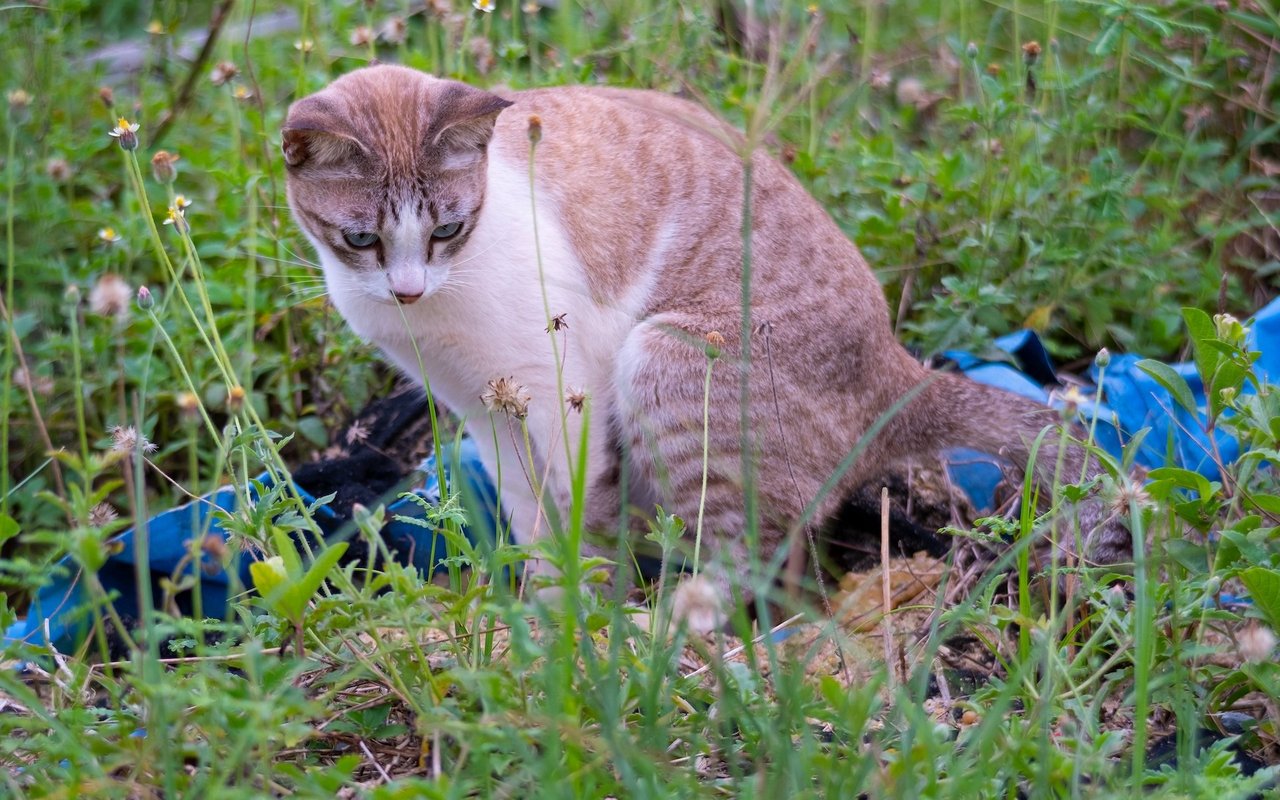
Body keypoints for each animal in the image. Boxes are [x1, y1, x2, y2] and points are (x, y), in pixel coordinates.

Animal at [282, 64, 1131, 624]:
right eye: (360, 239)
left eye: (447, 228)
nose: (407, 288)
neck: (433, 312)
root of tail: (898, 372)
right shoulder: (485, 411)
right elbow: (533, 523)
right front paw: (544, 616)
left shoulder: (556, 395)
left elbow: (579, 520)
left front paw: (582, 630)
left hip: (667, 363)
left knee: (752, 567)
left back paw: (670, 634)